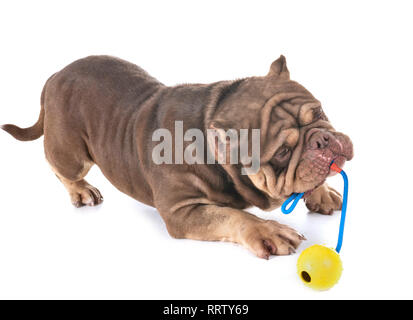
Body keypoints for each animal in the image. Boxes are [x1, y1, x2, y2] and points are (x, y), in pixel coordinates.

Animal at [1, 55, 352, 258]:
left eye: (319, 112)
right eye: (282, 151)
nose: (323, 139)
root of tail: (55, 75)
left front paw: (321, 191)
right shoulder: (183, 211)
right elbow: (233, 216)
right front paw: (266, 230)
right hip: (72, 153)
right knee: (59, 166)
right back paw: (81, 190)